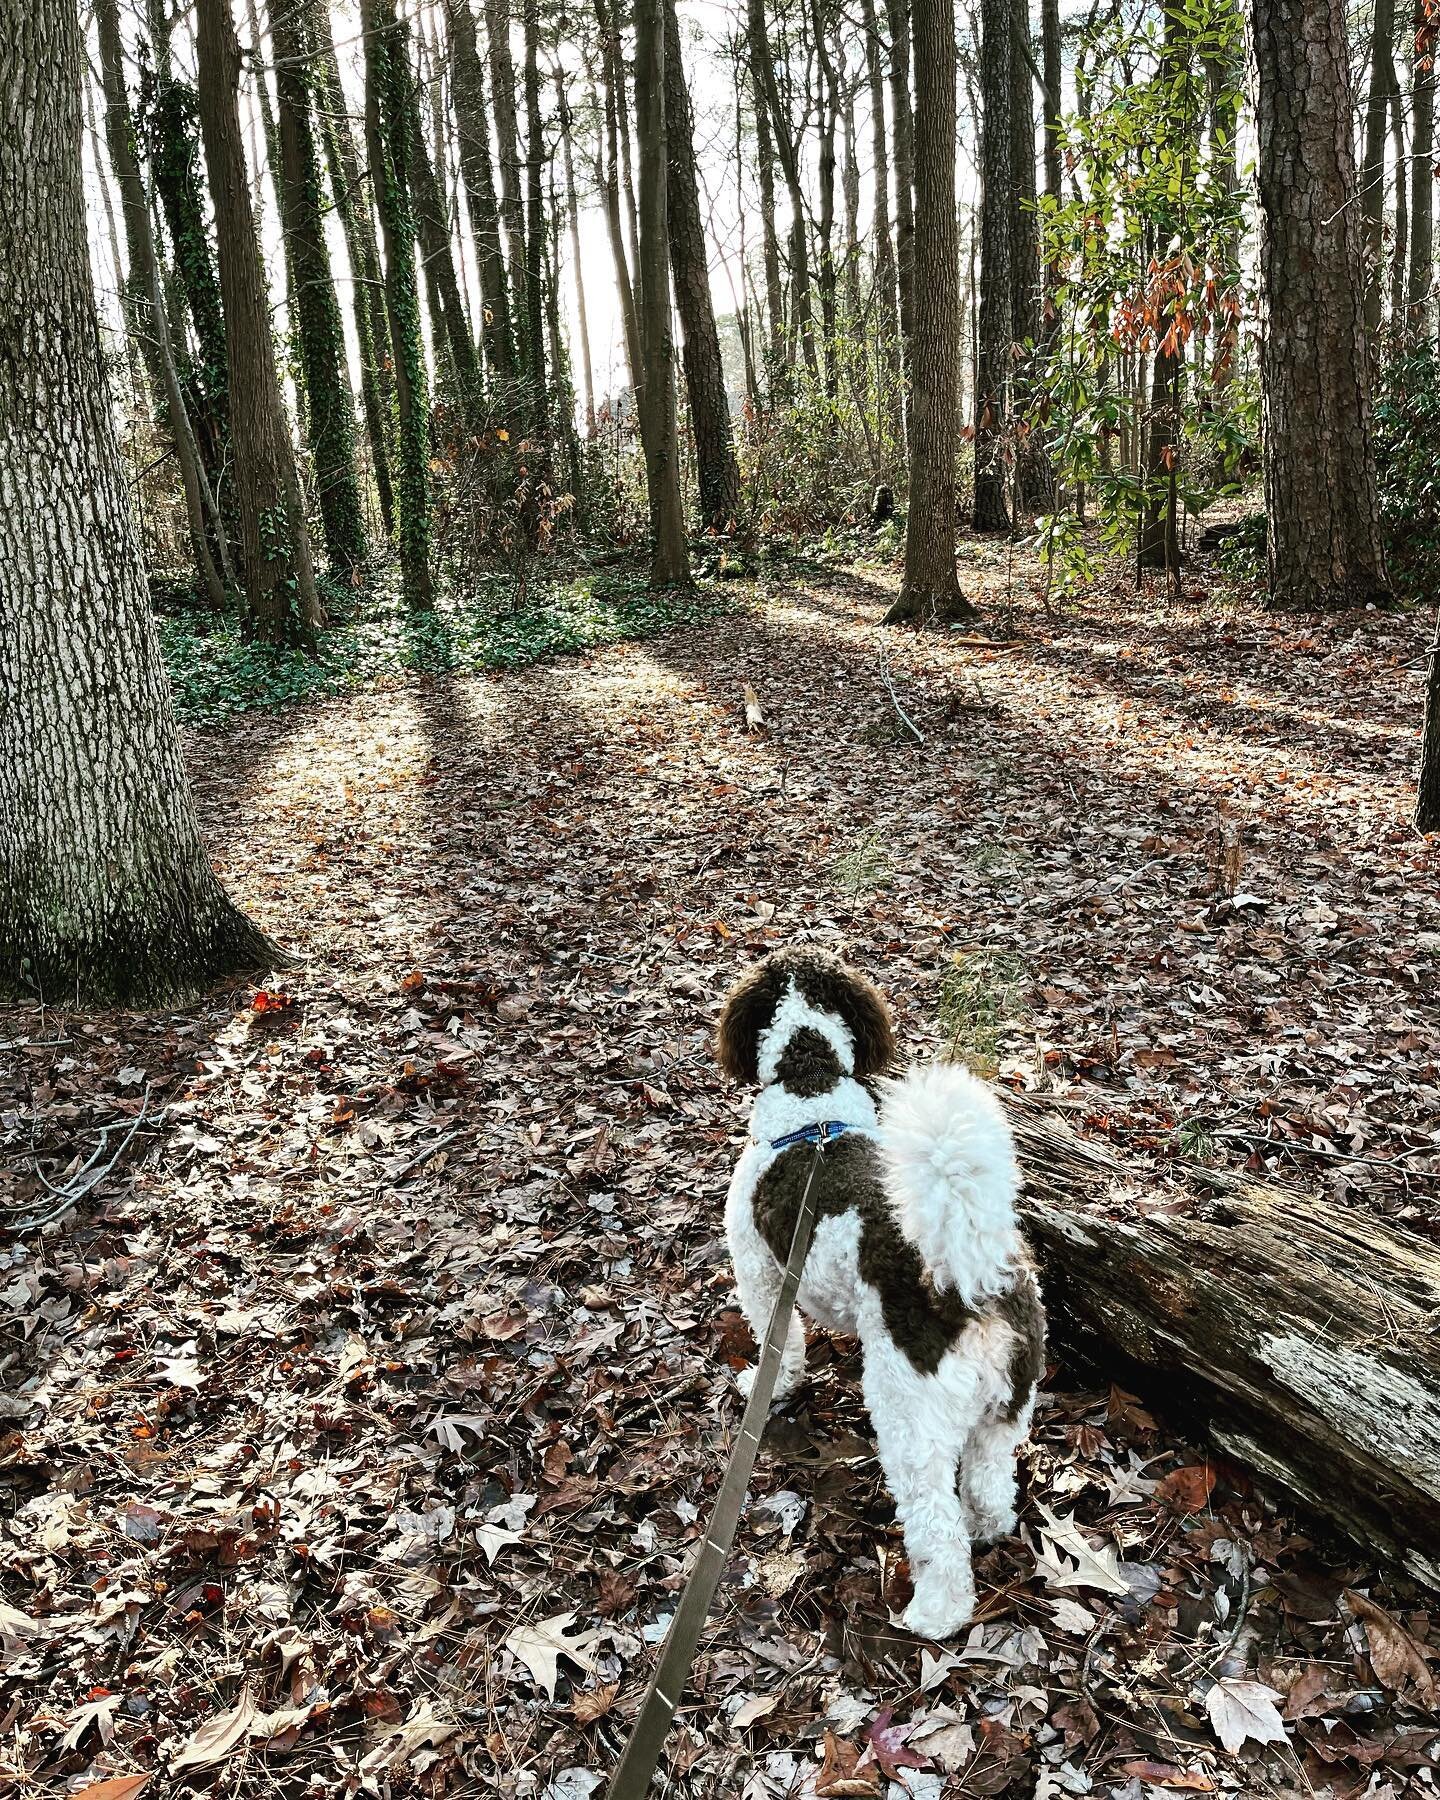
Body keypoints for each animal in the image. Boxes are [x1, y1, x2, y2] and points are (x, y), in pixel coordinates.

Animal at [720, 950, 1044, 1641]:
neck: (810, 1101)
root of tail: (969, 1283)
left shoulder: (762, 1275)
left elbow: (782, 1349)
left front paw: (769, 1386)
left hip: (909, 1415)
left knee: (936, 1526)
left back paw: (934, 1613)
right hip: (1006, 1409)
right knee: (989, 1485)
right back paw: (985, 1527)